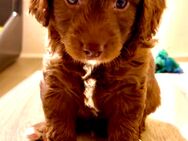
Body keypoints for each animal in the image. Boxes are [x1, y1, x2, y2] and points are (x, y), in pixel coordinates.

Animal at [29, 0, 164, 140]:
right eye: (72, 1)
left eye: (121, 3)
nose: (93, 50)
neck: (91, 66)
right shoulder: (58, 85)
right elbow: (58, 124)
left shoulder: (128, 91)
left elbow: (124, 127)